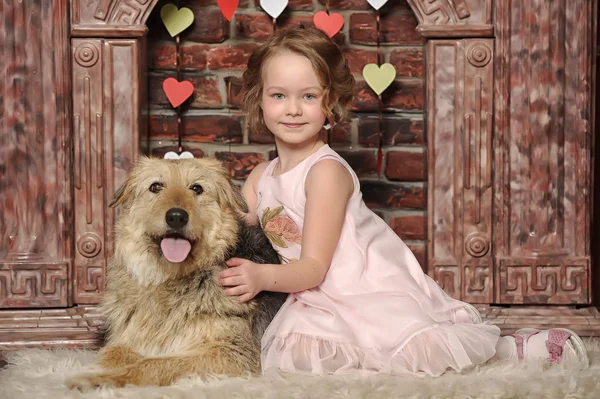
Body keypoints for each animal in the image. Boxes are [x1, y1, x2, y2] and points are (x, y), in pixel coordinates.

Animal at [68, 158, 286, 390]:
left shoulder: (233, 352)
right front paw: (95, 370)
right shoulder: (128, 337)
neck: (171, 278)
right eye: (155, 187)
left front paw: (101, 379)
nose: (176, 217)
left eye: (196, 188)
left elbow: (153, 364)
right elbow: (112, 351)